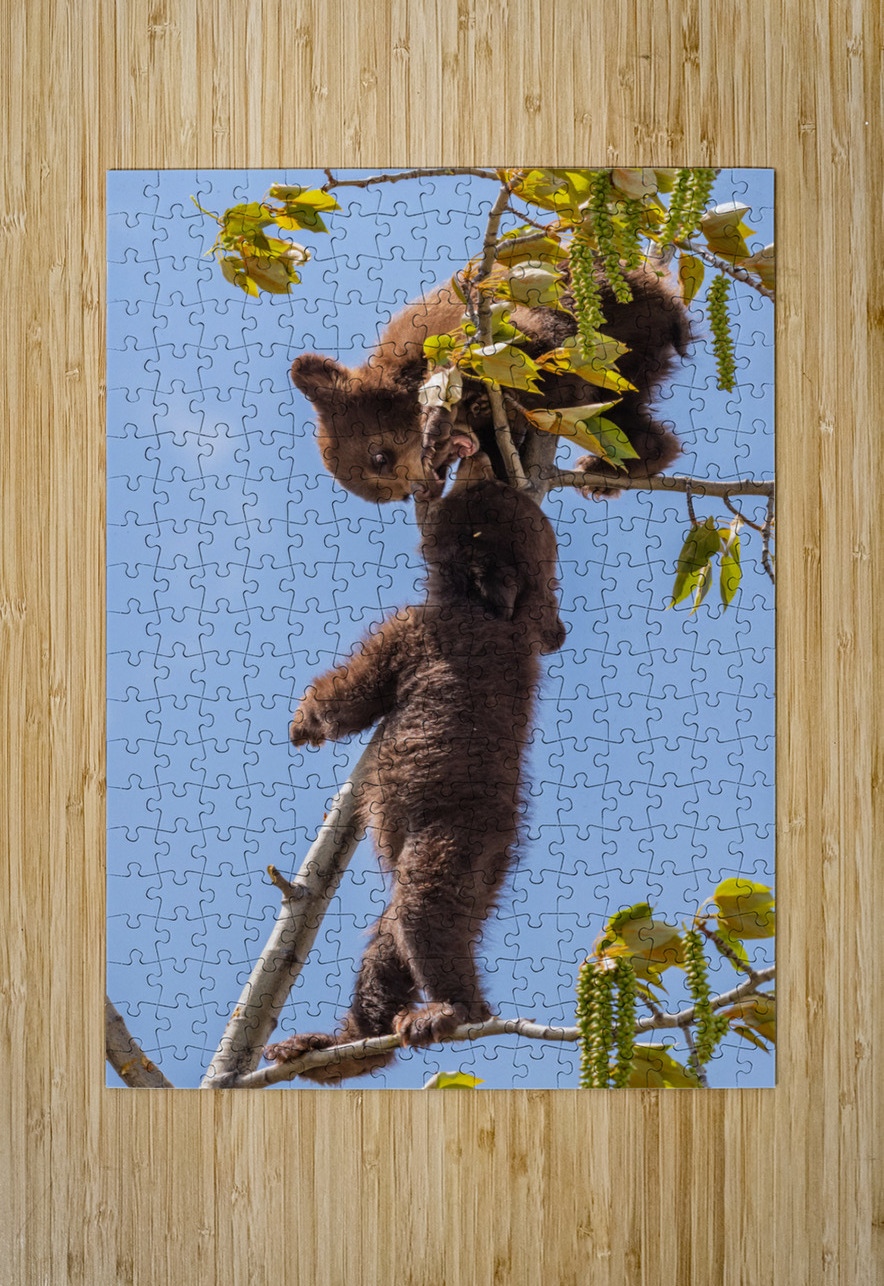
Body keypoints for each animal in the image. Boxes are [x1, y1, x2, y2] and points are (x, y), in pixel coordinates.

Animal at [264, 454, 565, 1082]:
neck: (496, 612)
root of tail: (500, 849)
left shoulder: (416, 631)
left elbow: (352, 695)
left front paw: (307, 720)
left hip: (452, 838)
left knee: (423, 911)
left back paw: (454, 1009)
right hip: (476, 875)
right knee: (388, 942)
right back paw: (343, 1044)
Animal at [289, 261, 692, 503]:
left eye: (379, 458)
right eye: (397, 495)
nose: (426, 490)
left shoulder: (454, 327)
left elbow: (518, 340)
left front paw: (444, 415)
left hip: (607, 305)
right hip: (634, 362)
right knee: (622, 413)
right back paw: (610, 468)